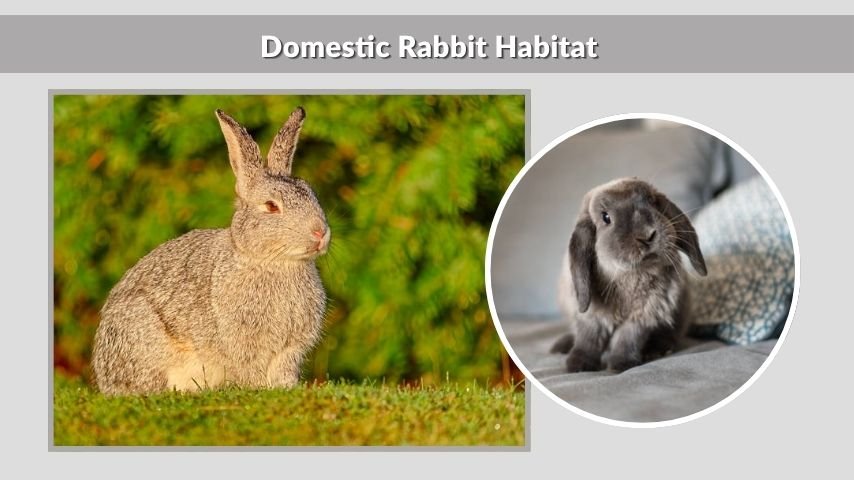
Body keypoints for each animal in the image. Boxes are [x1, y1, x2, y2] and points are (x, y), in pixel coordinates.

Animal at [91, 107, 331, 395]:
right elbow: (251, 370)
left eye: (311, 194)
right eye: (271, 206)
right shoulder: (244, 342)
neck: (273, 261)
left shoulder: (290, 349)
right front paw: (257, 389)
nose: (320, 232)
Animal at [551, 178, 707, 373]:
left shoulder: (642, 316)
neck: (629, 276)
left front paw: (621, 364)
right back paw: (561, 346)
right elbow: (589, 338)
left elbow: (627, 338)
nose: (647, 235)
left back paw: (657, 350)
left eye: (652, 201)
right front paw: (578, 365)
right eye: (605, 217)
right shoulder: (592, 316)